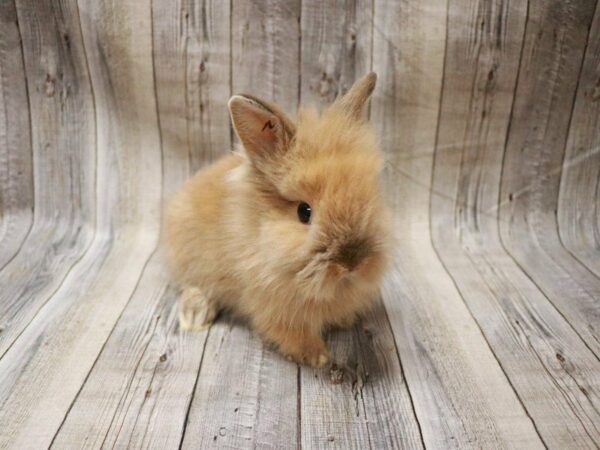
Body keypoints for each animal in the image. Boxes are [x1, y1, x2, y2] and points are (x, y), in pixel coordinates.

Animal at [164, 72, 392, 368]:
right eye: (304, 212)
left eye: (370, 194)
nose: (352, 261)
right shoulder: (274, 307)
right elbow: (291, 332)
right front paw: (317, 356)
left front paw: (344, 320)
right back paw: (195, 316)